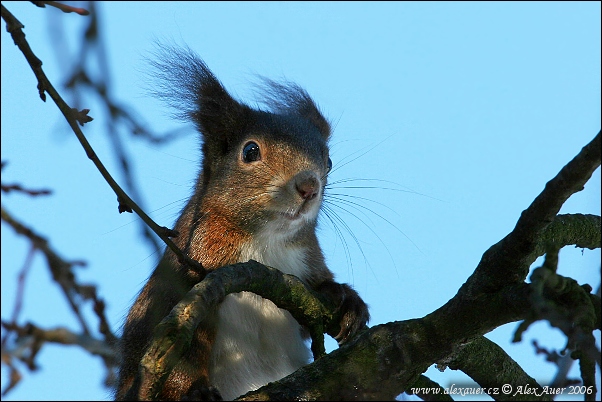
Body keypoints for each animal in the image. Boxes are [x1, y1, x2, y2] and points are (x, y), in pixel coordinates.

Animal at [115, 45, 368, 400]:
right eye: (250, 151)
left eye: (329, 161)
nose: (309, 186)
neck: (266, 242)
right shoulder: (189, 276)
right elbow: (180, 349)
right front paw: (196, 391)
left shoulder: (305, 267)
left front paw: (347, 301)